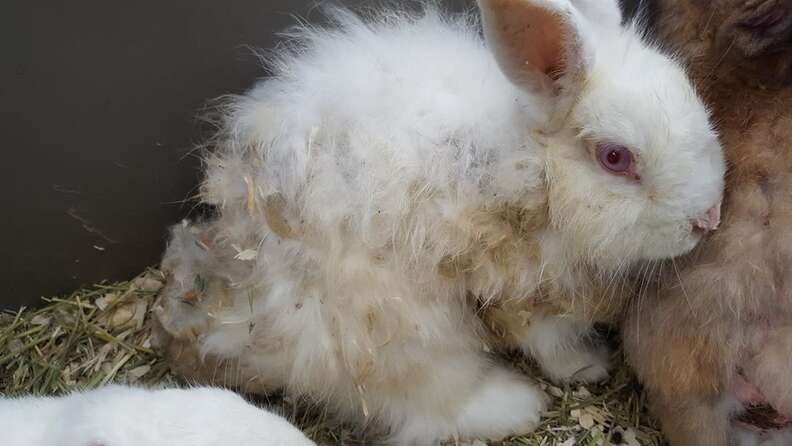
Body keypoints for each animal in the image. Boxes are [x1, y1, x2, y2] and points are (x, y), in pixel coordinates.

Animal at [153, 0, 724, 444]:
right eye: (615, 158)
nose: (708, 219)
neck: (537, 166)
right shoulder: (516, 282)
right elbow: (547, 339)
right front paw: (587, 366)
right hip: (396, 333)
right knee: (429, 405)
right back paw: (516, 405)